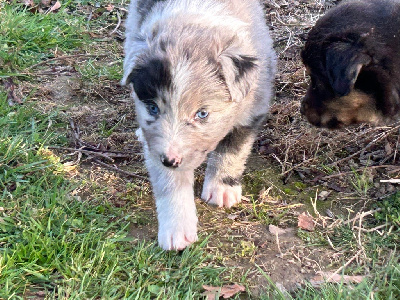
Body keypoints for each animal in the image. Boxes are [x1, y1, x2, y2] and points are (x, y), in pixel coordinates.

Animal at [123, 0, 276, 251]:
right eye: (153, 108)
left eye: (202, 114)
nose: (170, 160)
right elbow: (170, 181)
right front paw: (176, 231)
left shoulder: (253, 107)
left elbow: (233, 150)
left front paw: (222, 189)